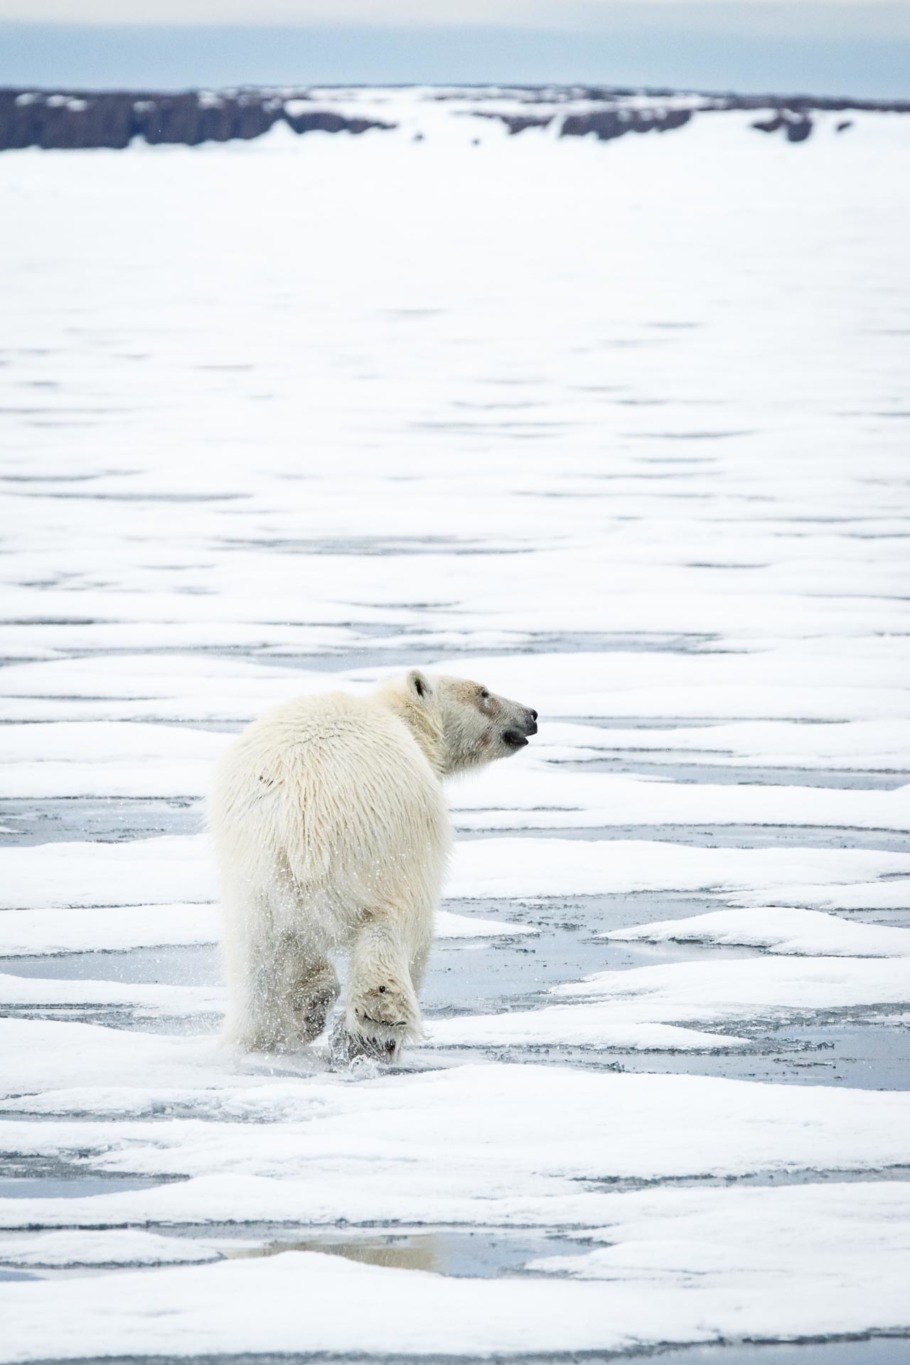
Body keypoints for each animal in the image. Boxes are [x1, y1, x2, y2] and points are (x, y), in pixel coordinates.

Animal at [208, 669, 537, 1061]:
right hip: (377, 854)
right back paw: (378, 1025)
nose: (531, 715)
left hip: (256, 866)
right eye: (483, 693)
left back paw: (269, 1027)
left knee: (257, 950)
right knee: (390, 924)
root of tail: (301, 812)